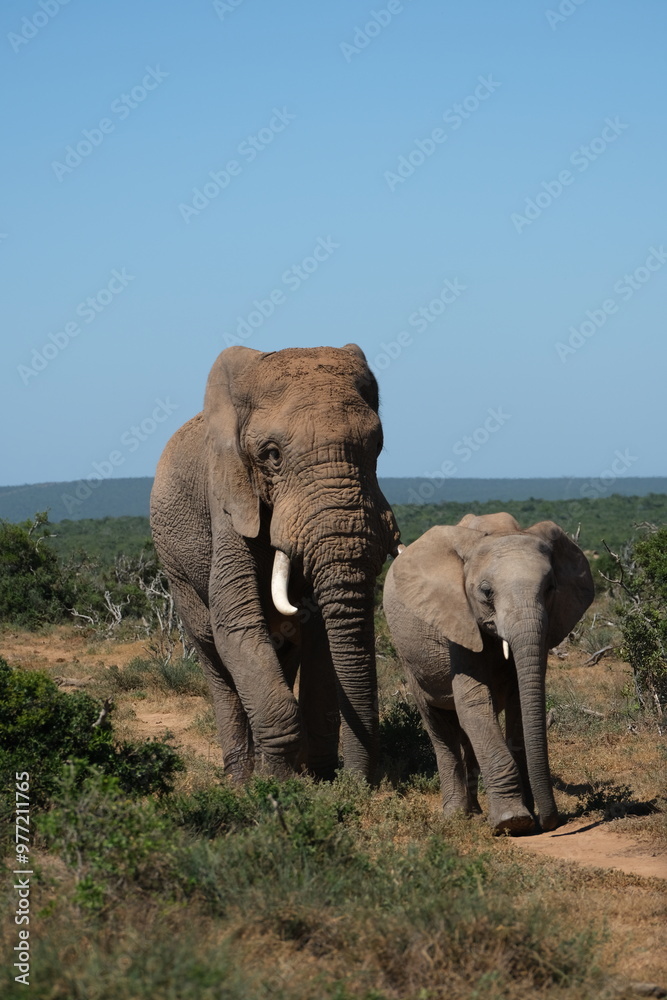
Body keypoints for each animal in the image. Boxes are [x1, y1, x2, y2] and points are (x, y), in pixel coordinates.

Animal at [150, 344, 402, 783]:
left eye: (377, 446)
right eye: (272, 456)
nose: (362, 783)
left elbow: (319, 634)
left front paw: (321, 779)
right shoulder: (228, 498)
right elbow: (235, 619)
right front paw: (278, 785)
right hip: (174, 567)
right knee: (213, 655)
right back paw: (241, 781)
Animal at [383, 512, 594, 833]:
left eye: (550, 588)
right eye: (486, 592)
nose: (552, 821)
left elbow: (518, 705)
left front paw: (527, 815)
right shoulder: (457, 620)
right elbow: (473, 704)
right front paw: (514, 821)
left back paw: (476, 812)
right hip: (408, 657)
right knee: (440, 728)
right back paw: (456, 815)